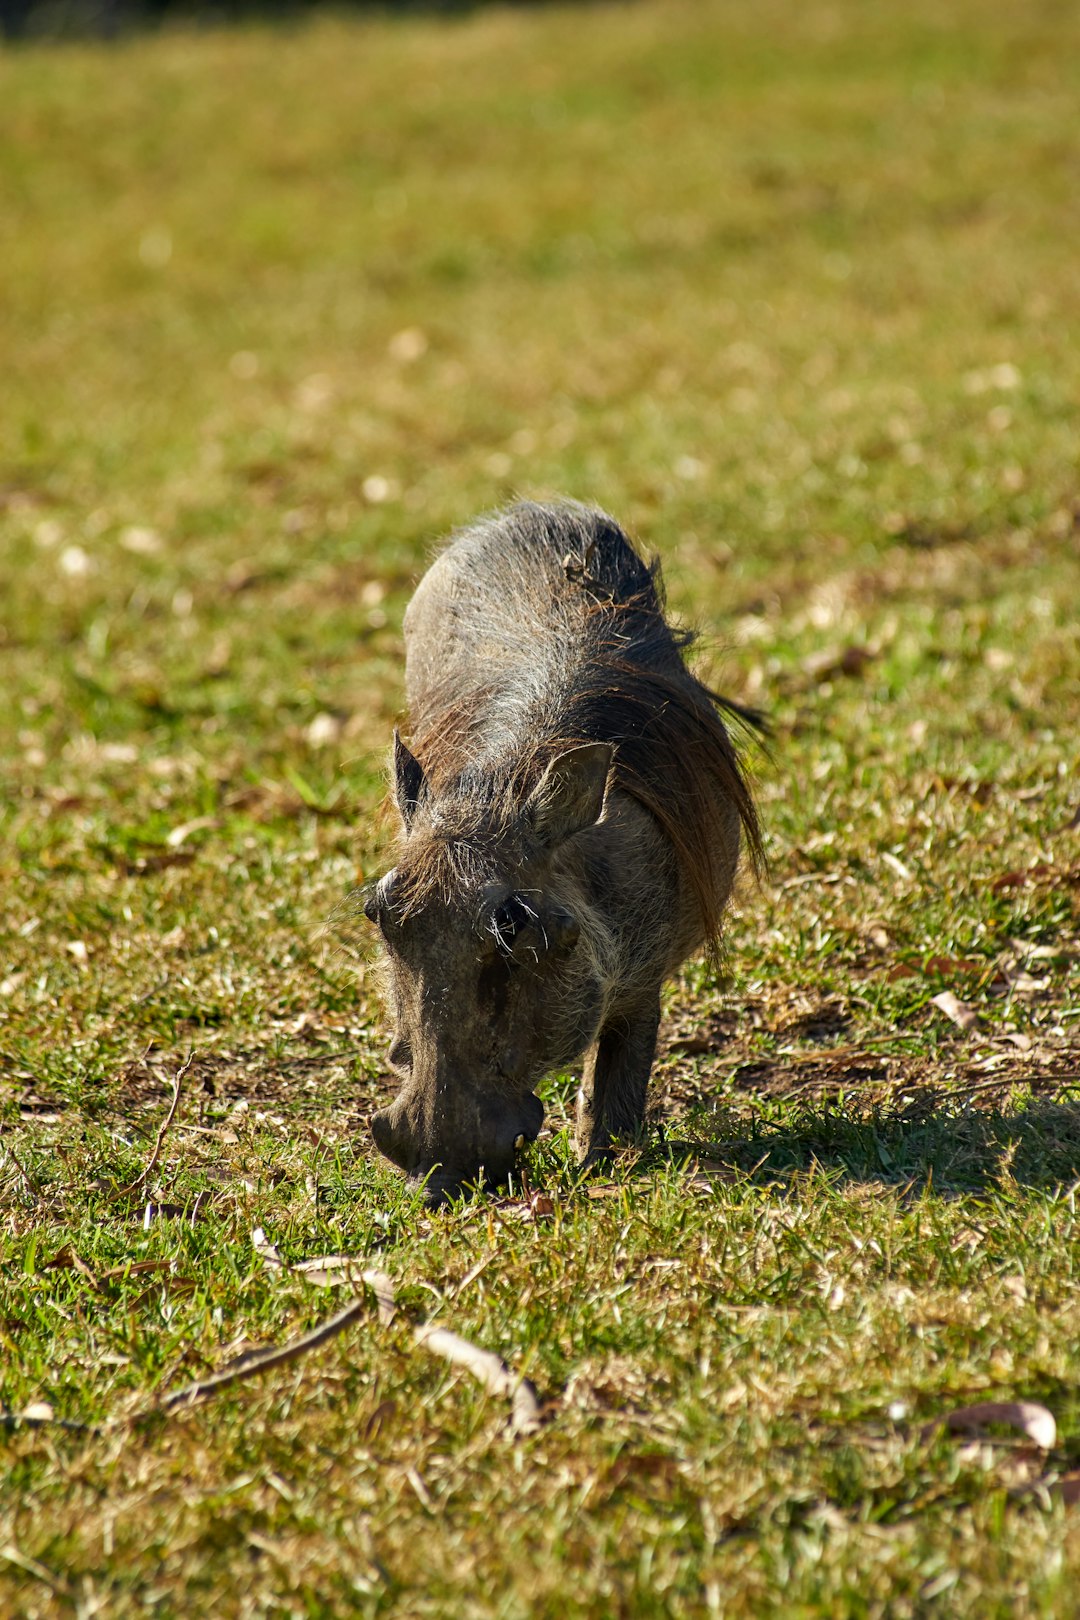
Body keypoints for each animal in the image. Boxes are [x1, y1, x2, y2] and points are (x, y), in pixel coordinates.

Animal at [362, 501, 762, 1205]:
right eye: (376, 912)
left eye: (516, 923)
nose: (436, 1182)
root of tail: (527, 510)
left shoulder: (644, 973)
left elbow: (618, 1073)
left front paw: (602, 1163)